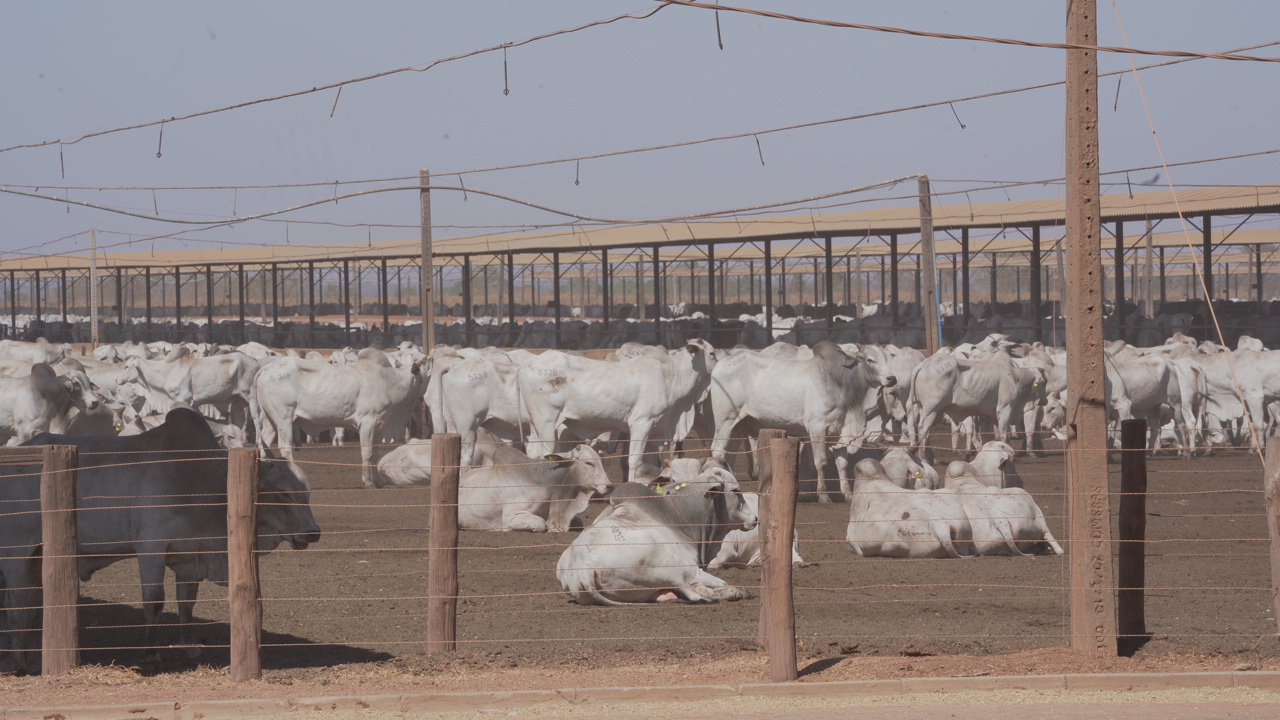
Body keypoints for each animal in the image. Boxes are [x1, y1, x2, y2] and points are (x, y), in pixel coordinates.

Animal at [254, 345, 424, 484]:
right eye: (421, 379)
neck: (390, 382)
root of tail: (266, 369)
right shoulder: (367, 422)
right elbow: (367, 452)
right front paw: (367, 481)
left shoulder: (378, 425)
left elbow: (375, 454)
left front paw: (378, 481)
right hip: (284, 420)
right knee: (285, 448)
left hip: (271, 420)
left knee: (264, 446)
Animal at [555, 461, 752, 602]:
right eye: (736, 491)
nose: (755, 517)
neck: (676, 516)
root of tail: (582, 572)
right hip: (677, 569)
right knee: (698, 592)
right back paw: (739, 591)